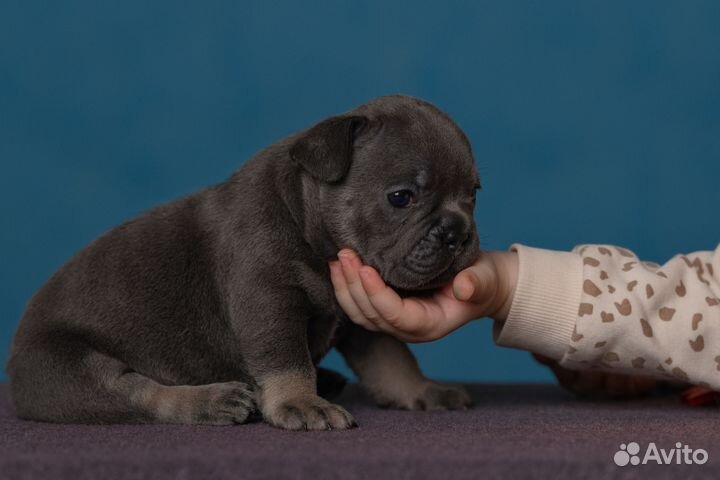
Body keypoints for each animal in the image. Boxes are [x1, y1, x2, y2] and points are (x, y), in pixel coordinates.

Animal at [5, 95, 480, 430]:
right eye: (401, 197)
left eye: (474, 194)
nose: (458, 233)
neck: (309, 228)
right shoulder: (269, 302)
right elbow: (286, 358)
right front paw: (300, 402)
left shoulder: (361, 319)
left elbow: (393, 359)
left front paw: (421, 390)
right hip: (70, 370)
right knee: (140, 395)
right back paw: (214, 400)